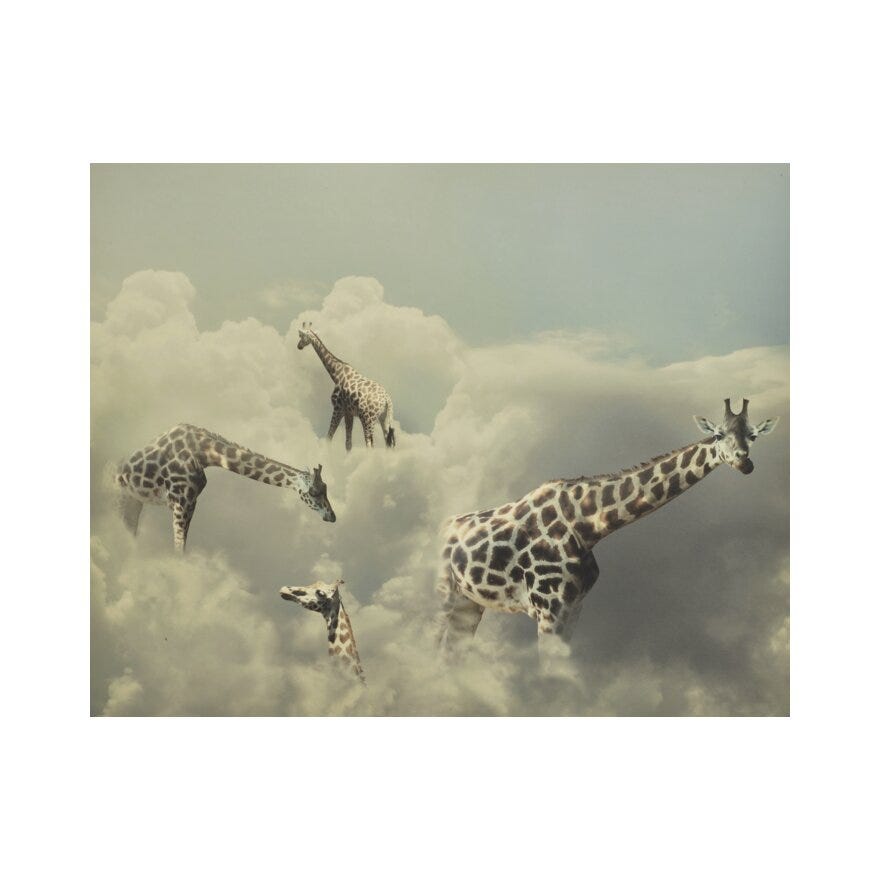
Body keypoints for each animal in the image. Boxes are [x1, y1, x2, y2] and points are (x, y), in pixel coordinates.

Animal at [114, 423, 336, 552]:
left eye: (326, 489)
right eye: (314, 492)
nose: (332, 517)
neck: (203, 453)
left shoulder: (191, 503)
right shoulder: (180, 503)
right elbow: (179, 549)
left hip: (135, 500)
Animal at [296, 322, 396, 451]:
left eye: (301, 336)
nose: (299, 346)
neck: (336, 373)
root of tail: (387, 400)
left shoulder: (338, 408)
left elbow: (329, 437)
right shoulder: (349, 412)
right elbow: (348, 444)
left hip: (368, 418)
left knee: (369, 443)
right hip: (384, 418)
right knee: (388, 442)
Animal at [435, 399, 779, 658]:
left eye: (753, 436)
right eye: (719, 435)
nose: (744, 463)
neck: (586, 526)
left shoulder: (573, 608)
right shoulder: (549, 609)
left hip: (470, 601)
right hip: (445, 594)